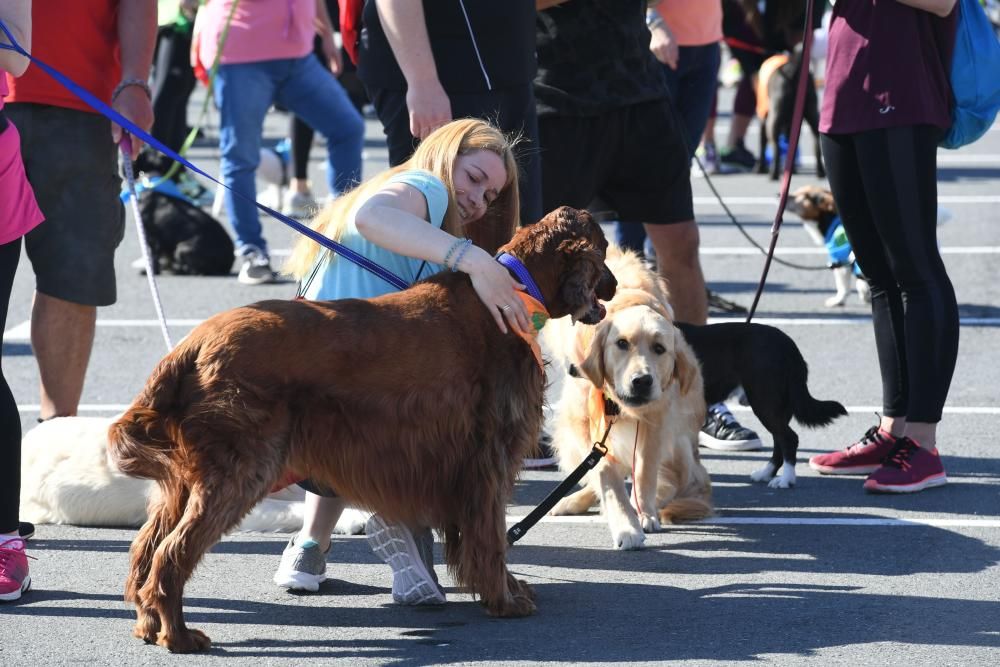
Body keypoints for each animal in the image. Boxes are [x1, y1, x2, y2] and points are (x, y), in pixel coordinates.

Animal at [105, 207, 612, 652]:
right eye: (605, 249)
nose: (614, 284)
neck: (513, 289)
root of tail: (189, 348)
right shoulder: (489, 461)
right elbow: (491, 538)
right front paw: (504, 598)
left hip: (185, 480)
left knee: (145, 548)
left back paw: (149, 625)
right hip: (239, 471)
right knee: (171, 554)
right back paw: (178, 636)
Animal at [544, 248, 716, 552]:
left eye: (659, 348)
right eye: (621, 343)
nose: (642, 381)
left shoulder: (656, 419)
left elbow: (644, 472)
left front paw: (643, 512)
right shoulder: (586, 423)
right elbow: (605, 475)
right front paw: (626, 525)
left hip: (680, 441)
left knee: (672, 481)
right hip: (568, 437)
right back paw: (572, 501)